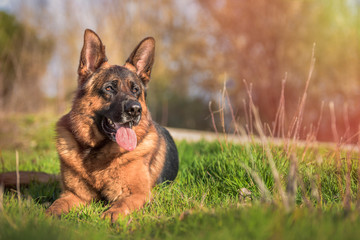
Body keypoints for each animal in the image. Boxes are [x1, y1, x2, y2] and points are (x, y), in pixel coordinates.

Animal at [46, 29, 179, 222]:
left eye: (135, 90)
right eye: (109, 88)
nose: (135, 110)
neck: (96, 150)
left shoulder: (138, 194)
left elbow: (120, 206)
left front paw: (109, 216)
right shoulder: (73, 195)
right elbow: (56, 205)